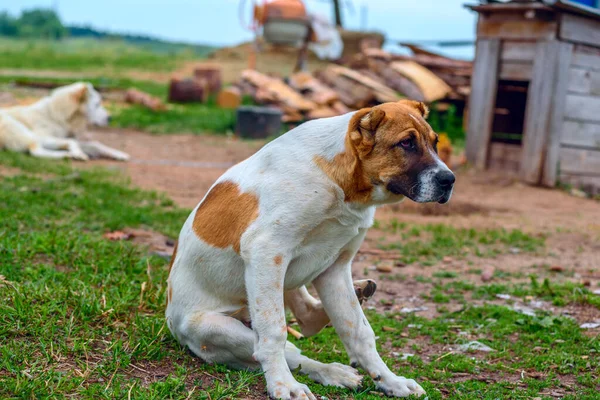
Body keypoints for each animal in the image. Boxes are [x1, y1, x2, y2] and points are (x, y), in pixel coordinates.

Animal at [0, 81, 131, 161]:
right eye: (97, 104)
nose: (110, 118)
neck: (56, 117)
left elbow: (95, 144)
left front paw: (119, 154)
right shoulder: (43, 137)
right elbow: (72, 141)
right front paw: (78, 153)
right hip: (23, 131)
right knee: (35, 150)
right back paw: (66, 155)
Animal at [164, 100, 454, 400]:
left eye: (435, 142)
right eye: (406, 143)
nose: (449, 180)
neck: (340, 185)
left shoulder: (336, 268)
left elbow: (359, 332)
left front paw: (390, 381)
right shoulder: (266, 251)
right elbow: (274, 333)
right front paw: (283, 385)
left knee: (305, 323)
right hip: (218, 328)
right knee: (284, 350)